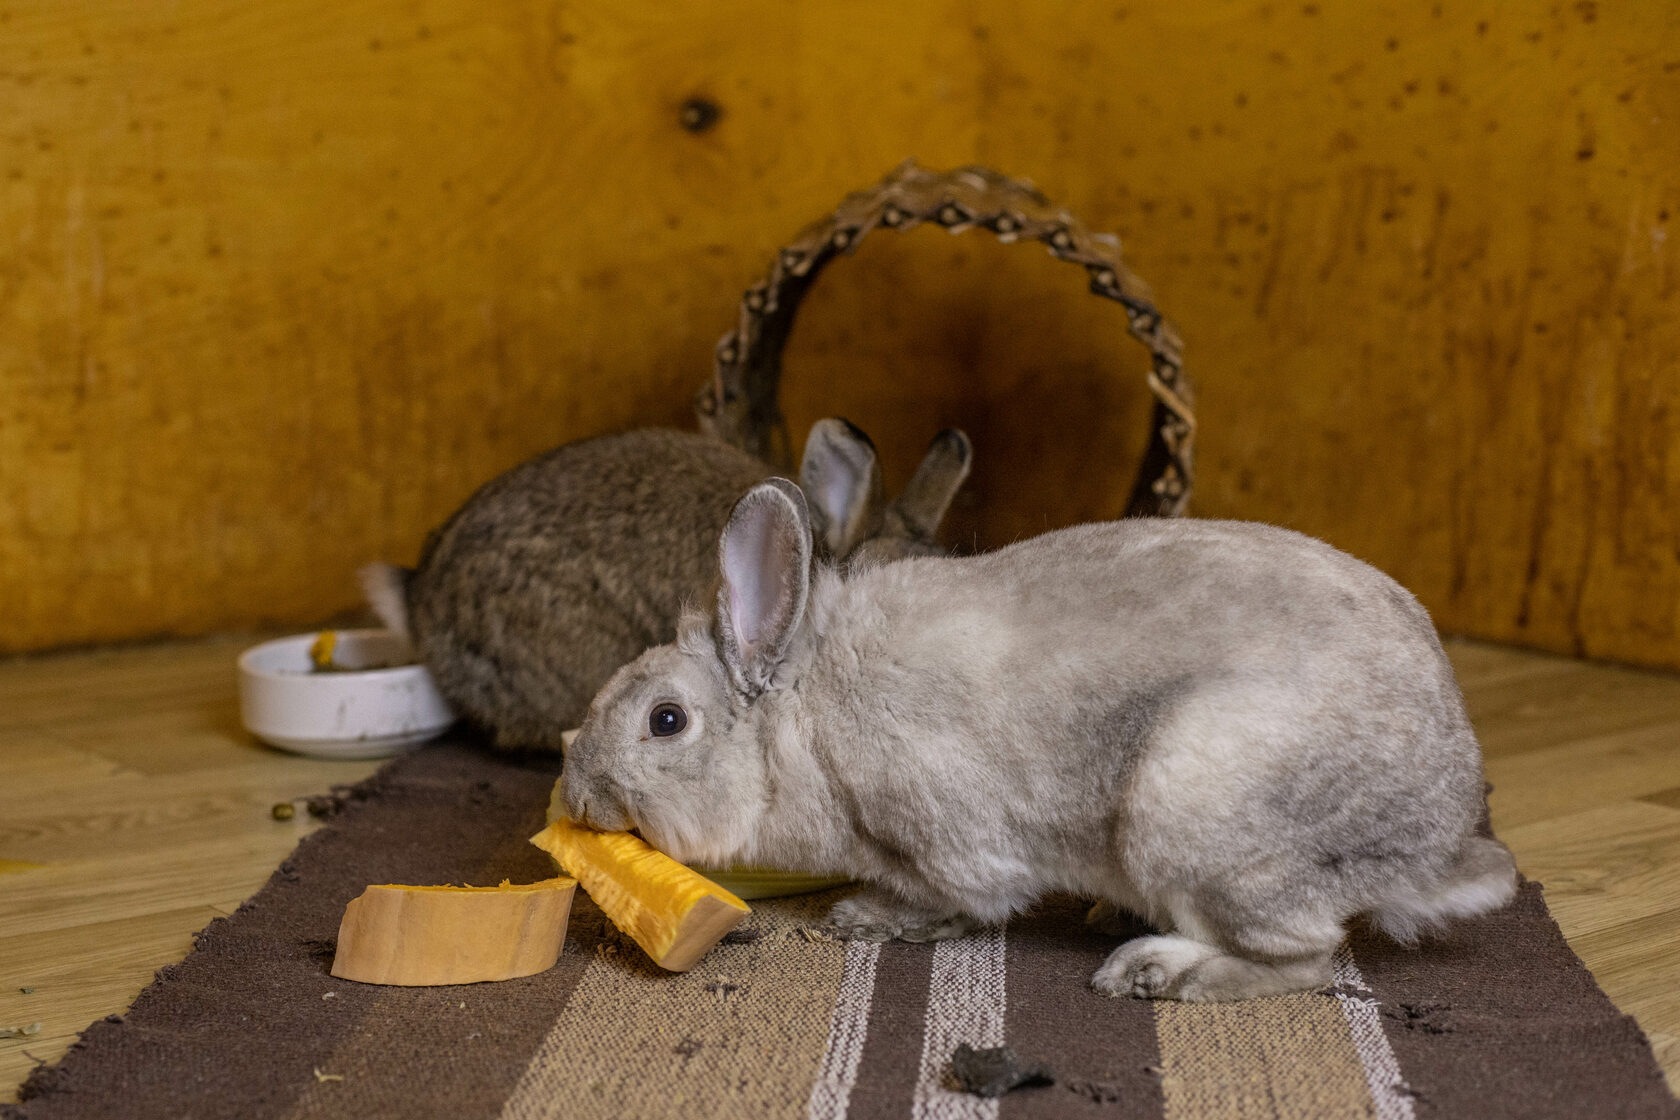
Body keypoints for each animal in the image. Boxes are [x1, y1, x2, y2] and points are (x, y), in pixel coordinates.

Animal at [561, 476, 1525, 1000]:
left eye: (666, 720)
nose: (575, 792)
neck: (805, 716)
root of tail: (1434, 847)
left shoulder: (950, 839)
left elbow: (961, 899)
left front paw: (867, 918)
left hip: (1193, 811)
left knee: (1309, 957)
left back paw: (1155, 971)